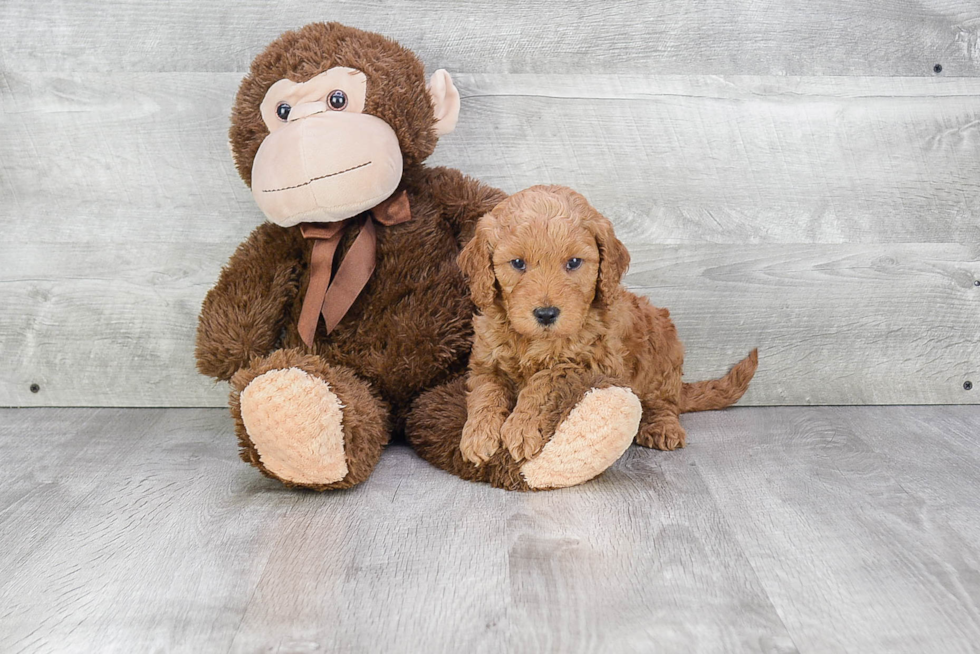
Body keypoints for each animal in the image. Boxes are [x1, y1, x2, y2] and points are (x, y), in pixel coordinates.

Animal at [458, 186, 756, 466]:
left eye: (574, 262)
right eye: (518, 263)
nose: (546, 314)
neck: (535, 340)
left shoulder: (596, 363)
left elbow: (548, 378)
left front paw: (522, 427)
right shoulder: (486, 361)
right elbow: (486, 392)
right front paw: (478, 435)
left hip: (661, 351)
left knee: (665, 402)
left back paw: (662, 427)